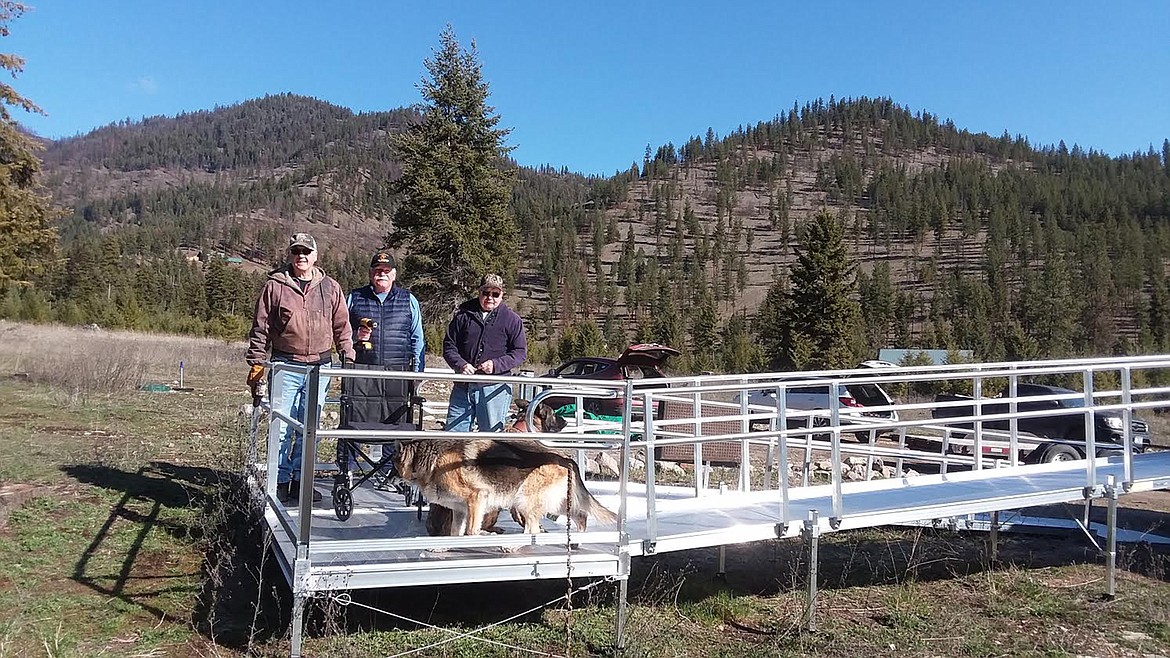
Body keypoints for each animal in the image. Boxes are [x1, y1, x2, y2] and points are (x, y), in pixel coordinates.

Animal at [397, 433, 617, 536]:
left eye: (393, 460)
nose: (392, 477)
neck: (431, 459)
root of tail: (567, 459)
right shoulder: (459, 509)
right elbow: (455, 532)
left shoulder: (476, 498)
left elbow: (470, 530)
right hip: (558, 503)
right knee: (581, 515)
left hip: (525, 501)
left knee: (532, 529)